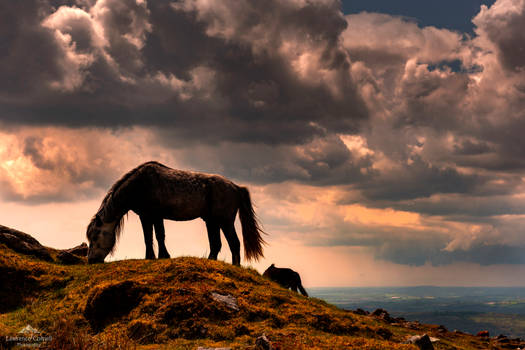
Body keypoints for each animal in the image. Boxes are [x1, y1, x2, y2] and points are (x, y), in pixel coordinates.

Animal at [88, 161, 266, 266]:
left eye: (95, 236)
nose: (91, 260)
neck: (140, 185)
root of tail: (235, 187)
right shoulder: (146, 216)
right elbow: (149, 237)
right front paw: (152, 256)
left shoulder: (154, 216)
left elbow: (158, 236)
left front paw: (161, 256)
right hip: (211, 222)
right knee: (216, 244)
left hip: (225, 221)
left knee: (234, 243)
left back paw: (236, 266)